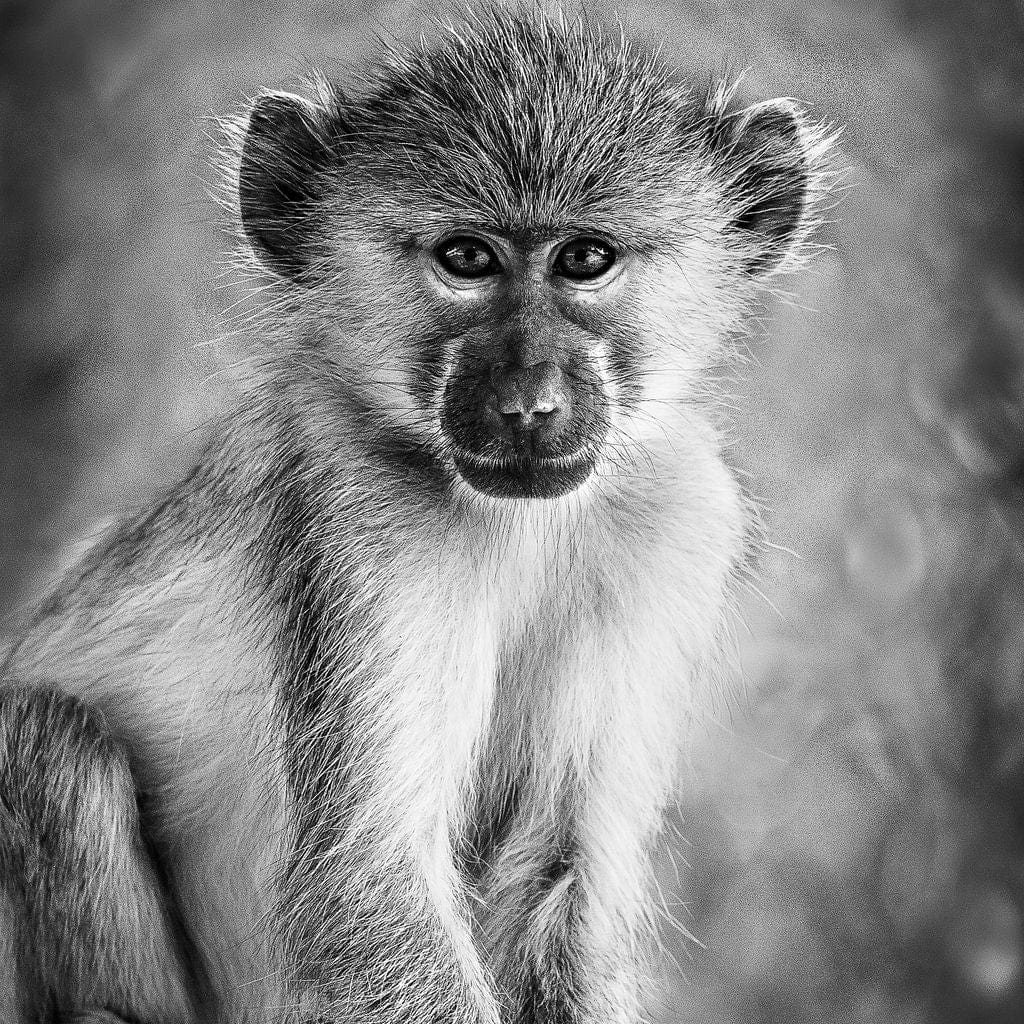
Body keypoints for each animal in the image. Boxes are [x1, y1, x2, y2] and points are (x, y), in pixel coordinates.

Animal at [0, 6, 834, 1023]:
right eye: (467, 259)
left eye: (585, 259)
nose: (527, 404)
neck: (522, 524)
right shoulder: (363, 515)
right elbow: (368, 881)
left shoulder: (680, 515)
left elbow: (561, 871)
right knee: (43, 740)